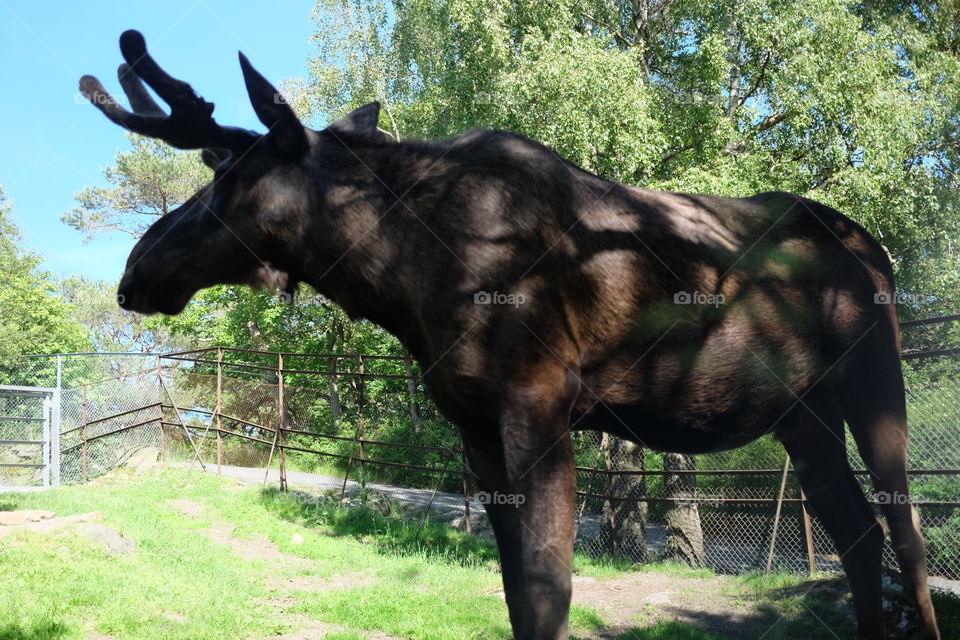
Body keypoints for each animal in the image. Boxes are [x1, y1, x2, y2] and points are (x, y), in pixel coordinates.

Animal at [80, 30, 940, 640]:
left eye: (227, 176)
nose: (137, 268)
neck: (399, 276)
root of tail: (874, 249)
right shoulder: (473, 424)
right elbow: (513, 590)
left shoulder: (541, 400)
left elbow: (549, 587)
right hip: (802, 414)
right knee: (857, 534)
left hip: (873, 378)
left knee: (906, 531)